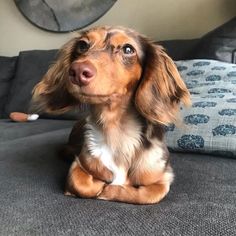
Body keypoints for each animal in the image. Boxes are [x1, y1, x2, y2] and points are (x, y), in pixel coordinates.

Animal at [32, 26, 190, 205]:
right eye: (82, 45)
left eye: (128, 49)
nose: (77, 71)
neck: (115, 129)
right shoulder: (79, 163)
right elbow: (80, 184)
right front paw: (100, 186)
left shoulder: (163, 177)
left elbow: (148, 195)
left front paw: (110, 190)